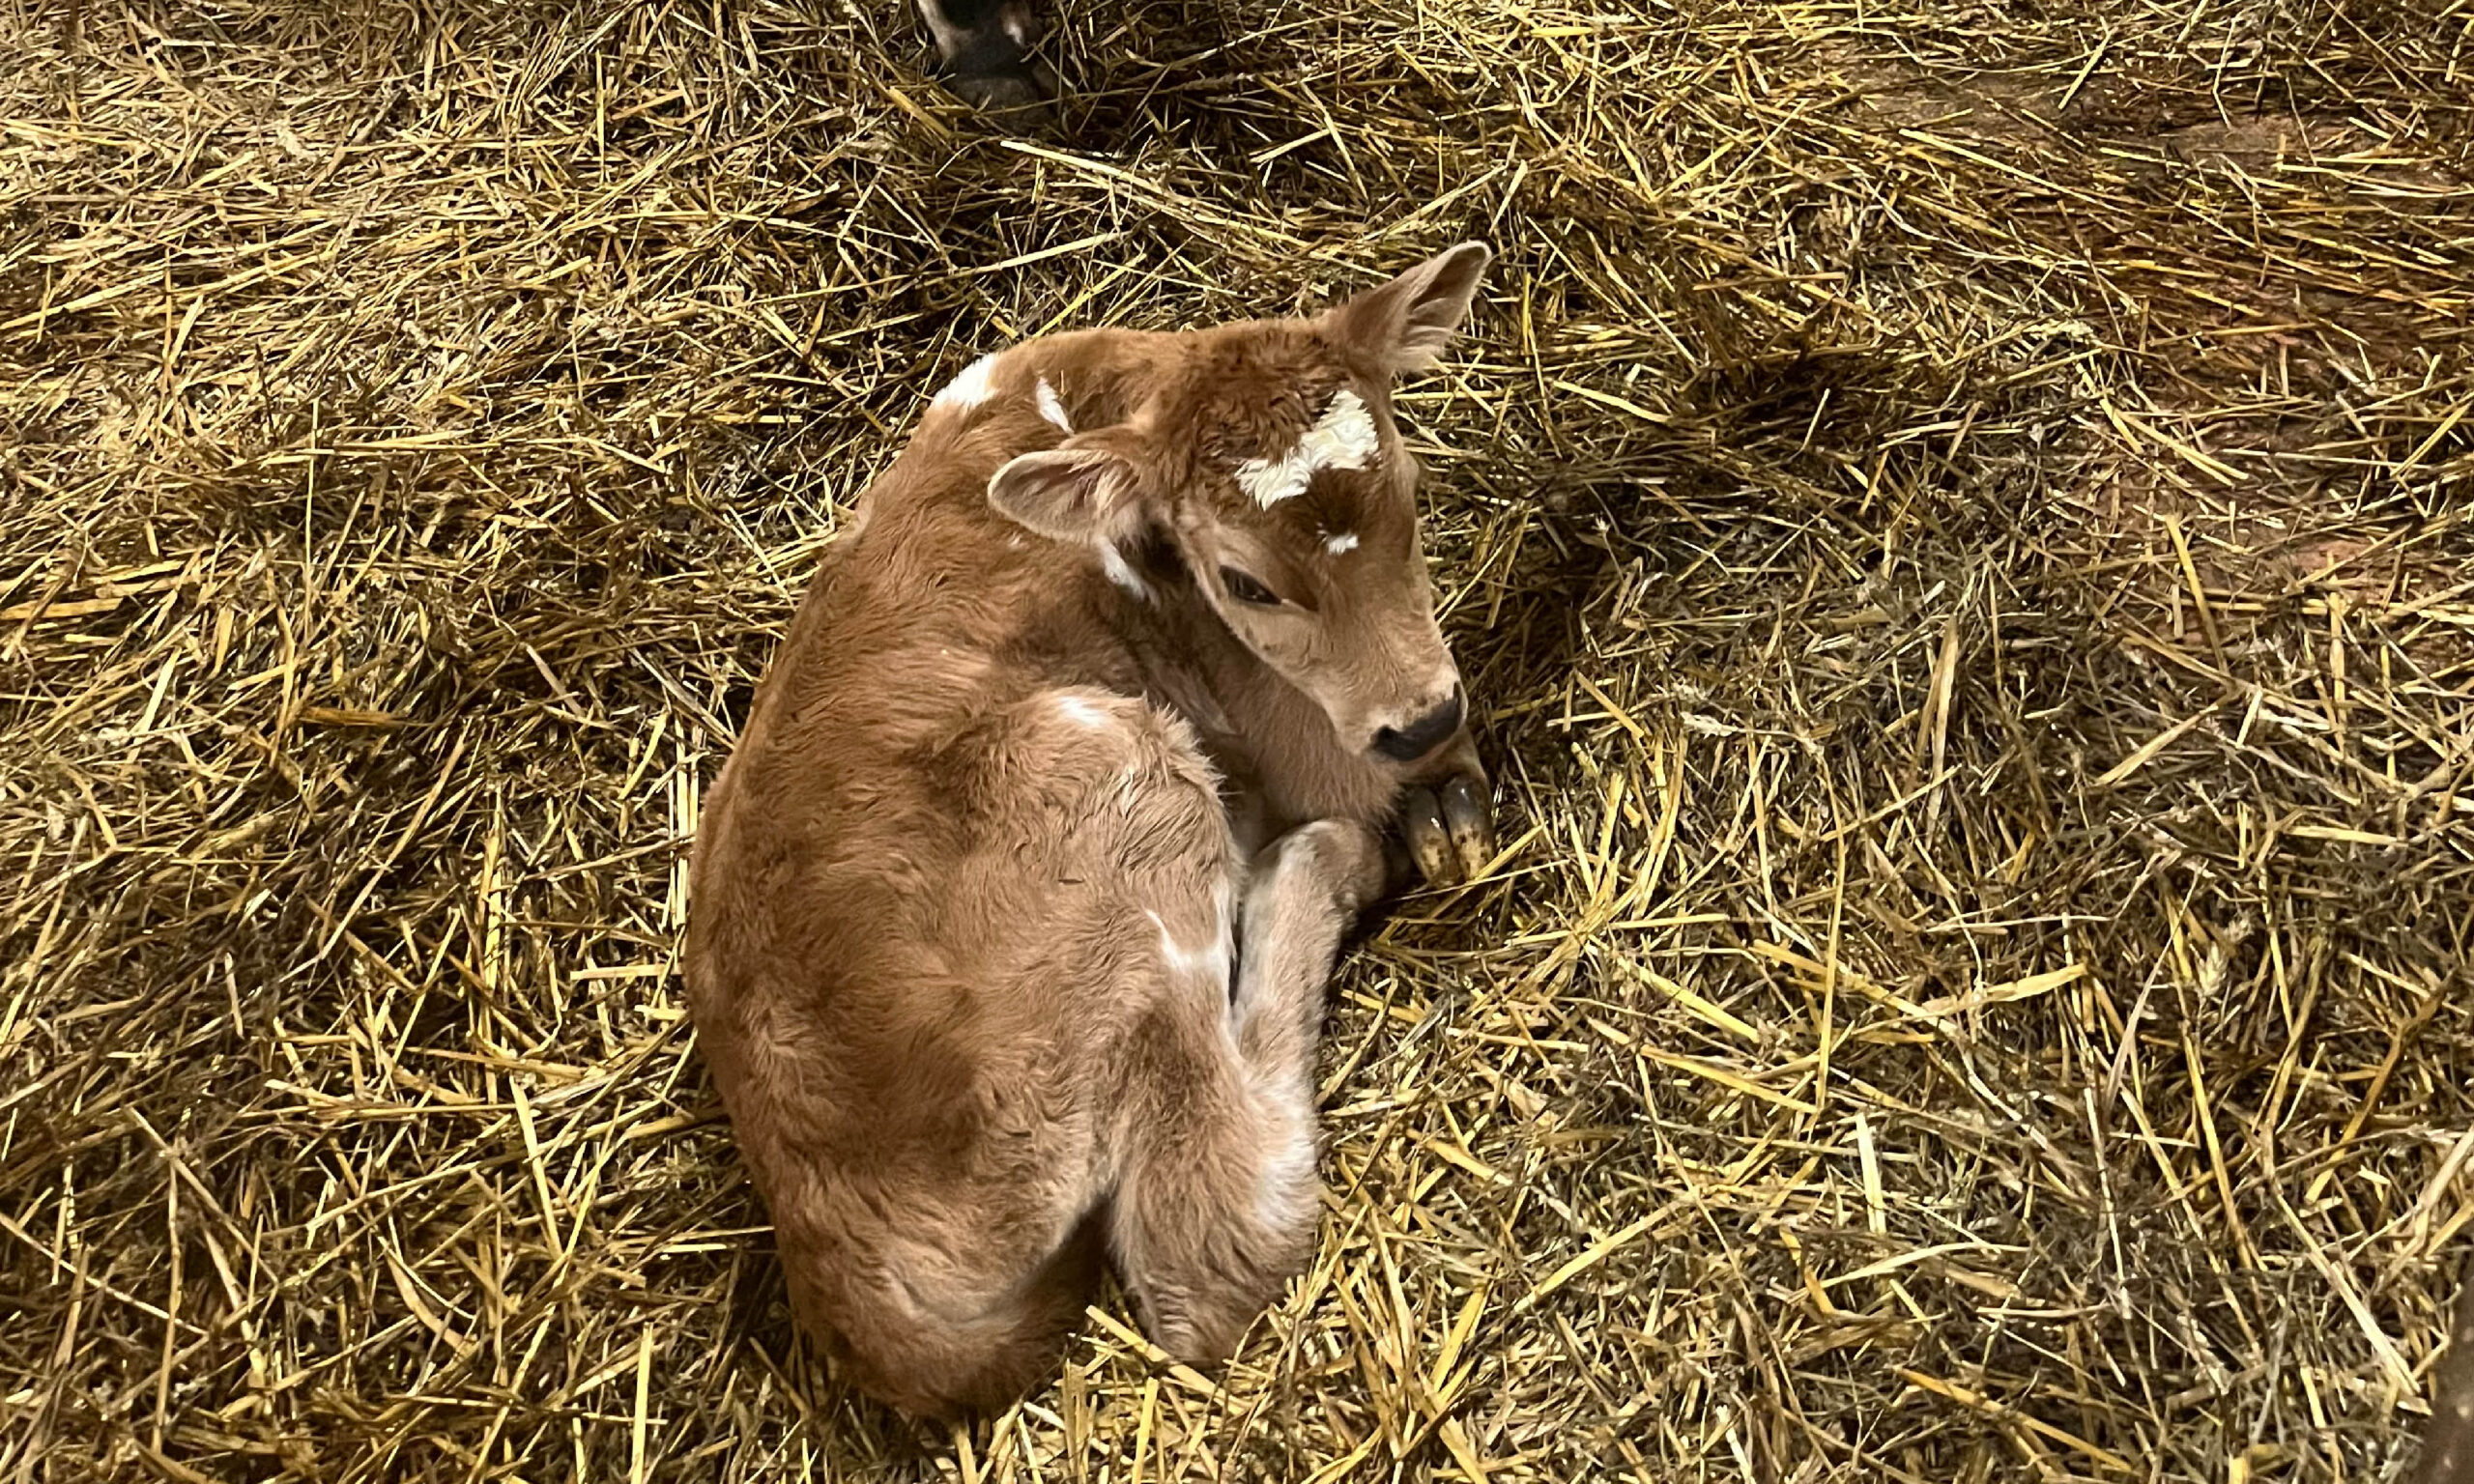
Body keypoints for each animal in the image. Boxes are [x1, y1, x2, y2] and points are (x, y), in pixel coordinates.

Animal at [682, 243, 1484, 1414]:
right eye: (1244, 583)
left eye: (1413, 501)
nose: (1423, 714)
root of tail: (834, 1259)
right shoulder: (1303, 736)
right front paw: (1430, 794)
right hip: (1119, 789)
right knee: (1211, 1246)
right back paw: (1312, 869)